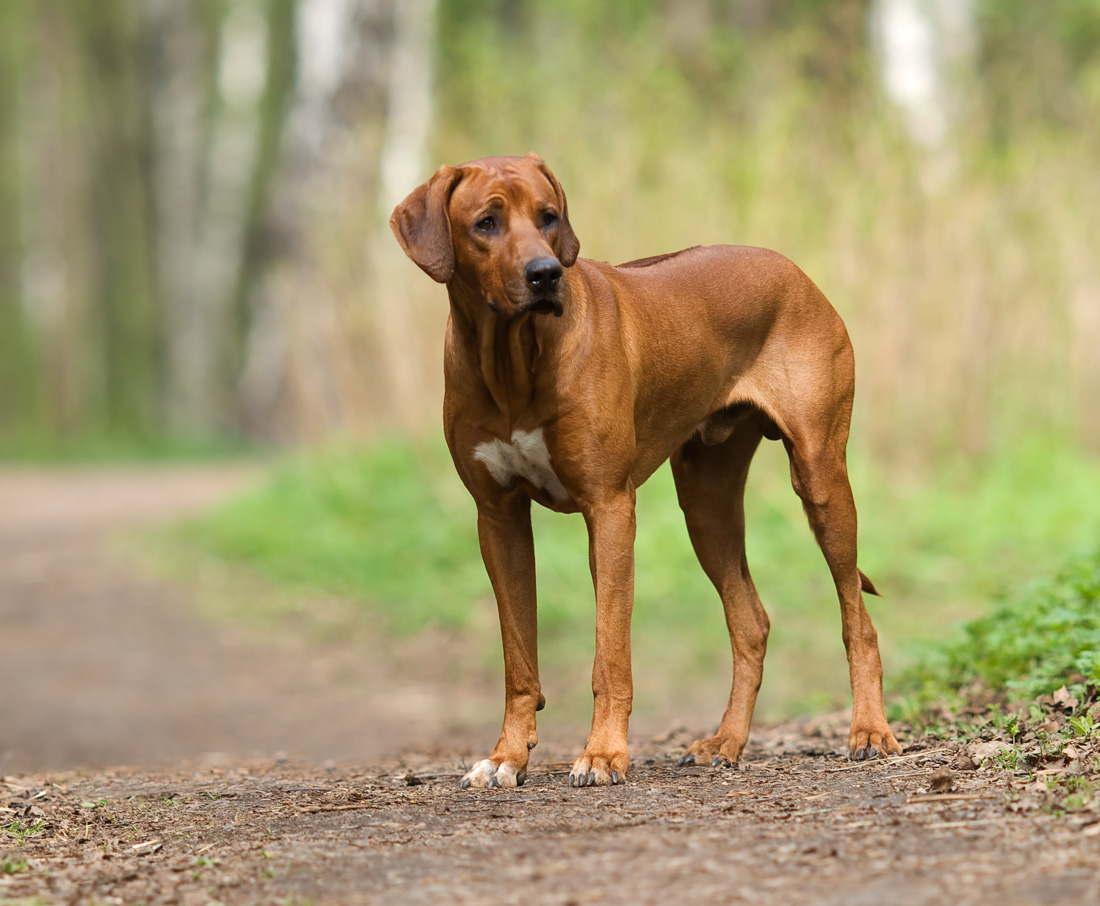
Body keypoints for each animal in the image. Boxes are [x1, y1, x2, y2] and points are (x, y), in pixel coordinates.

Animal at [391, 153, 897, 787]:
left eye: (548, 216)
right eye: (486, 223)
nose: (545, 274)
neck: (513, 361)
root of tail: (795, 270)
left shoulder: (609, 507)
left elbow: (610, 654)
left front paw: (604, 753)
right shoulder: (497, 518)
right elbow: (518, 658)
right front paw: (507, 755)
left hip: (821, 480)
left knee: (859, 621)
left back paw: (870, 731)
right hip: (706, 507)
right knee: (750, 622)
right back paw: (726, 741)